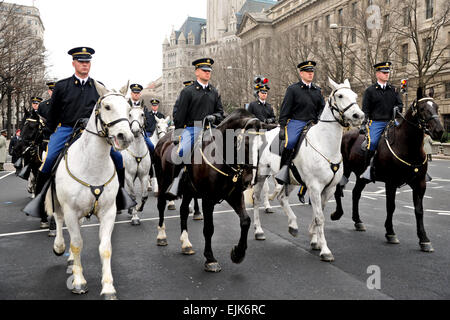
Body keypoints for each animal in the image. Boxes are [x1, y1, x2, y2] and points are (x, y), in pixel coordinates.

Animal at [46, 82, 134, 300]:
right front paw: (78, 282)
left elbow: (105, 248)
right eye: (107, 107)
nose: (126, 137)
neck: (92, 165)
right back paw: (60, 246)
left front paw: (108, 287)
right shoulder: (70, 210)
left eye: (129, 109)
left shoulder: (108, 212)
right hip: (60, 205)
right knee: (59, 221)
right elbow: (77, 244)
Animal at [154, 109, 262, 272]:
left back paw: (186, 243)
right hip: (162, 182)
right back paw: (161, 236)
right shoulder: (207, 200)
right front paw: (210, 259)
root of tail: (162, 140)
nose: (249, 180)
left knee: (184, 211)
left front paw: (238, 253)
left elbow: (245, 221)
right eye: (246, 143)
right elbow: (209, 228)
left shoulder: (235, 196)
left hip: (188, 191)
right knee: (161, 205)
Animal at [251, 79, 364, 262]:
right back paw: (259, 230)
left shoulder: (328, 189)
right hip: (261, 175)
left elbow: (318, 214)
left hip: (291, 179)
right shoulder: (314, 187)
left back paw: (293, 225)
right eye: (340, 95)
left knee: (282, 198)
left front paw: (314, 238)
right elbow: (320, 217)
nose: (358, 116)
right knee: (256, 200)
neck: (325, 144)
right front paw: (325, 249)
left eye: (354, 95)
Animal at [330, 88, 442, 252]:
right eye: (422, 109)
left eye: (437, 107)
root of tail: (347, 134)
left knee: (356, 194)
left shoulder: (420, 184)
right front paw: (390, 232)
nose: (439, 131)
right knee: (339, 189)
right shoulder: (391, 182)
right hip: (345, 170)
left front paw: (424, 239)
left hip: (362, 177)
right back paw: (337, 214)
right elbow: (391, 206)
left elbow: (419, 210)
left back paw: (358, 221)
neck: (408, 146)